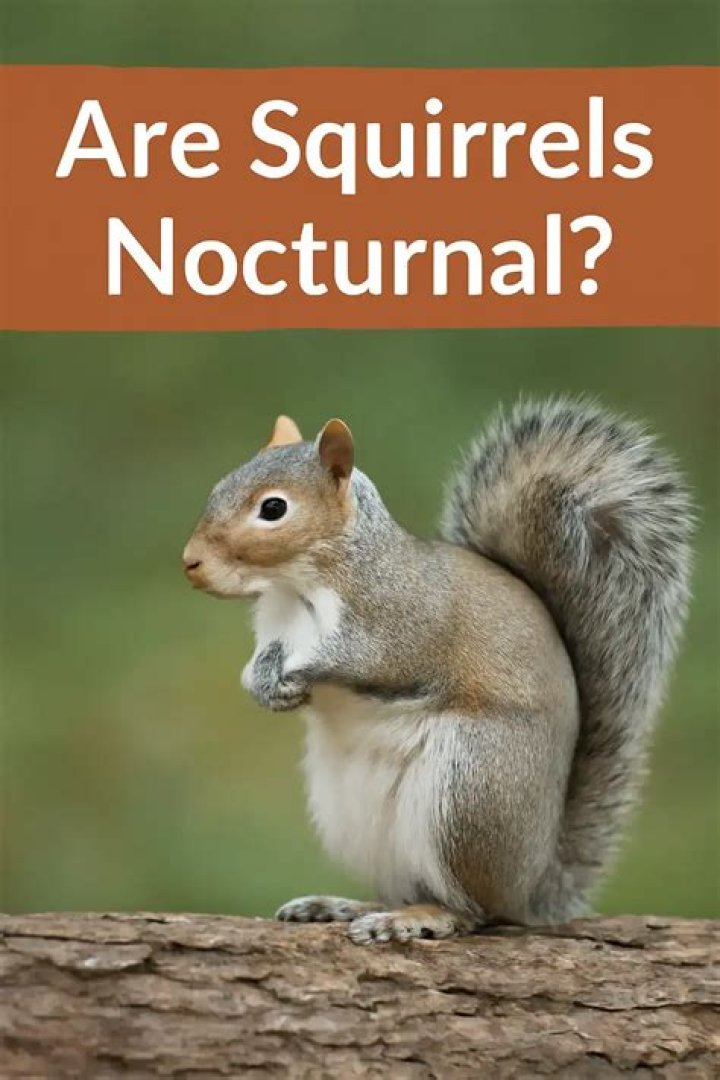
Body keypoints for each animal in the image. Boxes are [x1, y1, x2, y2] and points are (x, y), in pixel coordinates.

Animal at [183, 400, 692, 944]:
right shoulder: (274, 631)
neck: (296, 586)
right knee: (408, 886)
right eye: (220, 485)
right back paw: (343, 906)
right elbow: (262, 659)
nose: (190, 562)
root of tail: (528, 886)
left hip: (468, 791)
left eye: (273, 509)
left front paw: (300, 675)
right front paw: (263, 684)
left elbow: (368, 661)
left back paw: (418, 917)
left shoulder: (401, 623)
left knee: (472, 910)